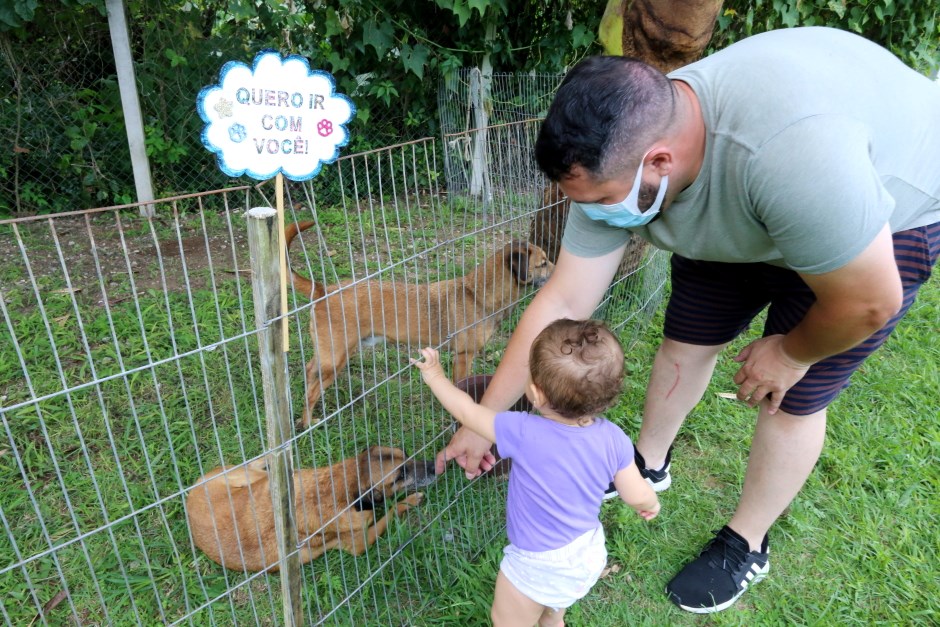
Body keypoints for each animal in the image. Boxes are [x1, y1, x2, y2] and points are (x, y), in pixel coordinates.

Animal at [186, 446, 436, 576]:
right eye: (400, 476)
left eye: (406, 453)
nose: (434, 466)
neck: (338, 484)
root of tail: (190, 494)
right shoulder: (360, 543)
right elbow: (389, 511)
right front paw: (410, 500)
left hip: (256, 479)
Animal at [282, 221, 556, 426]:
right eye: (543, 263)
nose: (558, 270)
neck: (476, 294)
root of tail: (324, 291)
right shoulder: (463, 357)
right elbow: (460, 388)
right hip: (335, 359)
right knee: (312, 392)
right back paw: (306, 423)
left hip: (327, 355)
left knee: (309, 372)